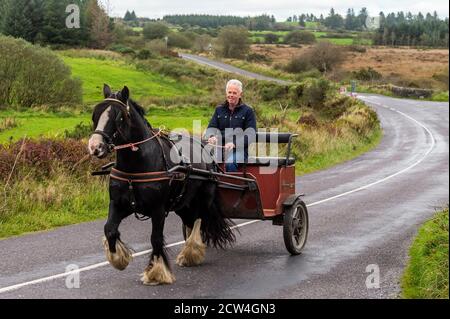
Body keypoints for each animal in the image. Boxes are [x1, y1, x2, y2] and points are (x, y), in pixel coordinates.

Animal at [88, 84, 236, 284]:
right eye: (96, 115)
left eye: (118, 117)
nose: (95, 147)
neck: (136, 167)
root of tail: (206, 149)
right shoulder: (118, 204)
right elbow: (110, 230)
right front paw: (119, 258)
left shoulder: (157, 209)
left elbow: (156, 239)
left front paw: (156, 272)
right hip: (183, 203)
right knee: (190, 221)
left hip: (204, 199)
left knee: (198, 220)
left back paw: (191, 252)